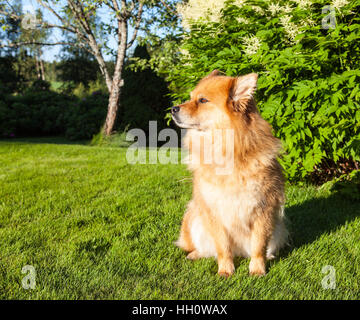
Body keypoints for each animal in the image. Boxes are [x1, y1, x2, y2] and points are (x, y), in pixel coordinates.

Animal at [171, 71, 286, 276]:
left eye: (202, 100)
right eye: (190, 97)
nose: (173, 109)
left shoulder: (263, 211)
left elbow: (259, 246)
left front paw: (257, 270)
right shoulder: (214, 211)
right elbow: (222, 247)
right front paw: (225, 270)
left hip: (278, 227)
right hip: (193, 219)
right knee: (205, 248)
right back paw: (195, 254)